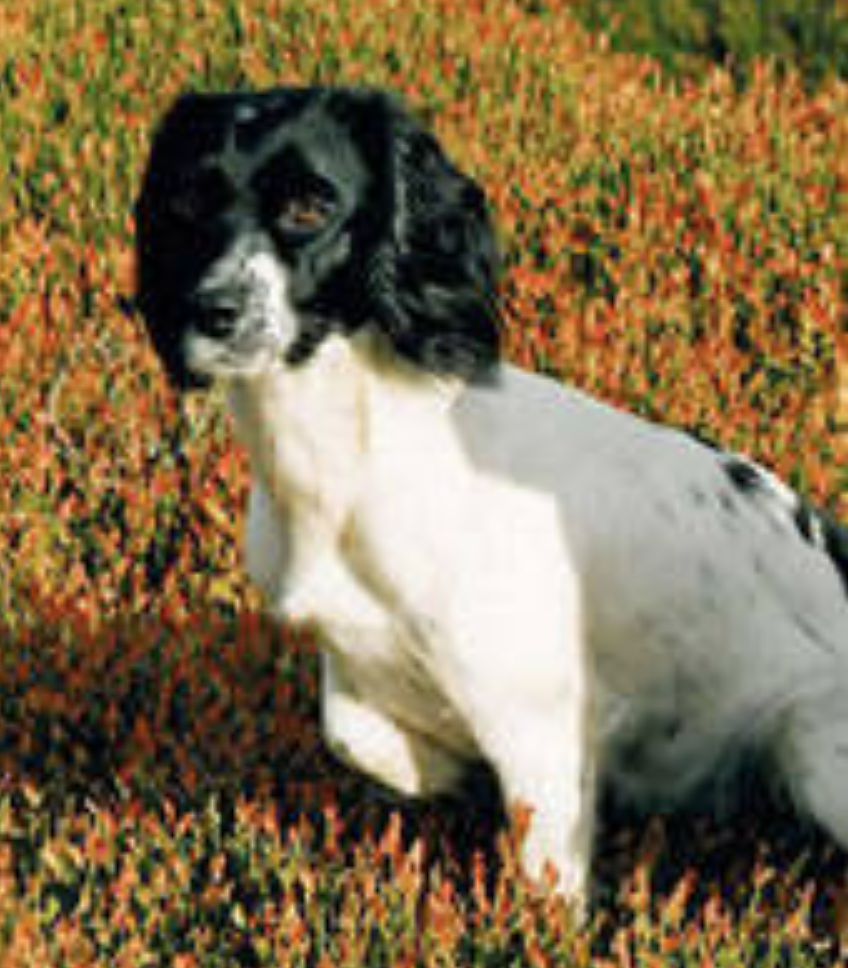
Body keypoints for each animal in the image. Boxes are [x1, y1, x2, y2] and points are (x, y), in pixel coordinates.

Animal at [135, 85, 848, 905]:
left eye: (311, 205)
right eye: (187, 200)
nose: (210, 311)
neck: (357, 449)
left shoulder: (540, 719)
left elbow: (545, 878)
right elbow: (356, 734)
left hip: (815, 745)